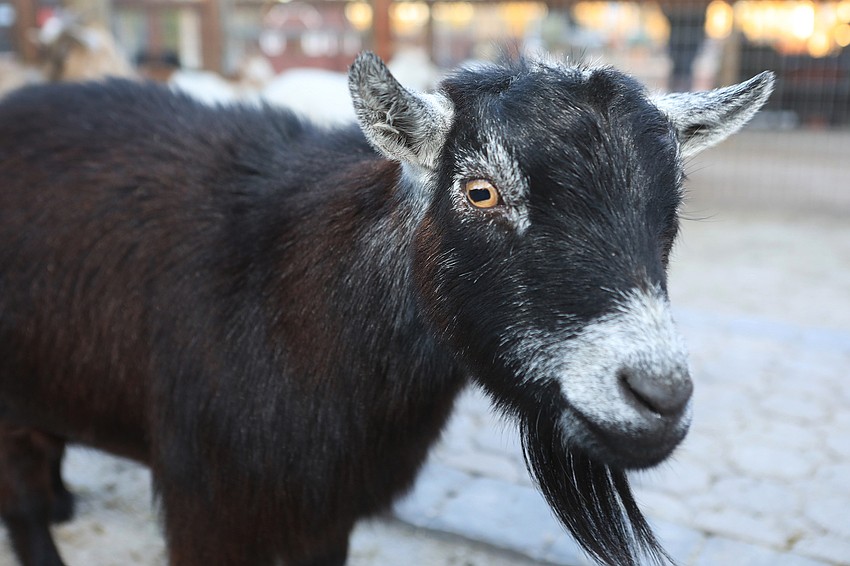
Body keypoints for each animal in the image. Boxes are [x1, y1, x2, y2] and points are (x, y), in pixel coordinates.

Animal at [0, 52, 773, 566]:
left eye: (672, 205)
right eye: (480, 190)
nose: (657, 395)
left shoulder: (328, 509)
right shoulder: (206, 505)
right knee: (24, 501)